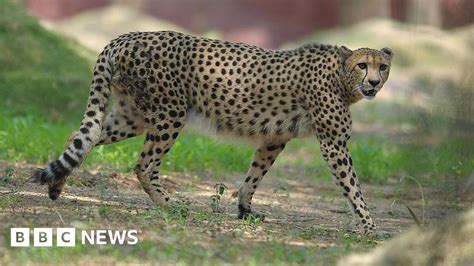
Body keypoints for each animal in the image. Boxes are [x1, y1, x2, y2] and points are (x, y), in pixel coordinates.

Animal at [30, 31, 392, 235]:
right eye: (363, 65)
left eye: (383, 67)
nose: (375, 83)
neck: (342, 76)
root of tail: (124, 37)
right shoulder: (334, 144)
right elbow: (353, 188)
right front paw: (370, 226)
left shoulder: (274, 139)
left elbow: (254, 175)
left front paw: (245, 210)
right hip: (169, 113)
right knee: (144, 165)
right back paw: (172, 206)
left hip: (134, 116)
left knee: (81, 137)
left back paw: (56, 186)